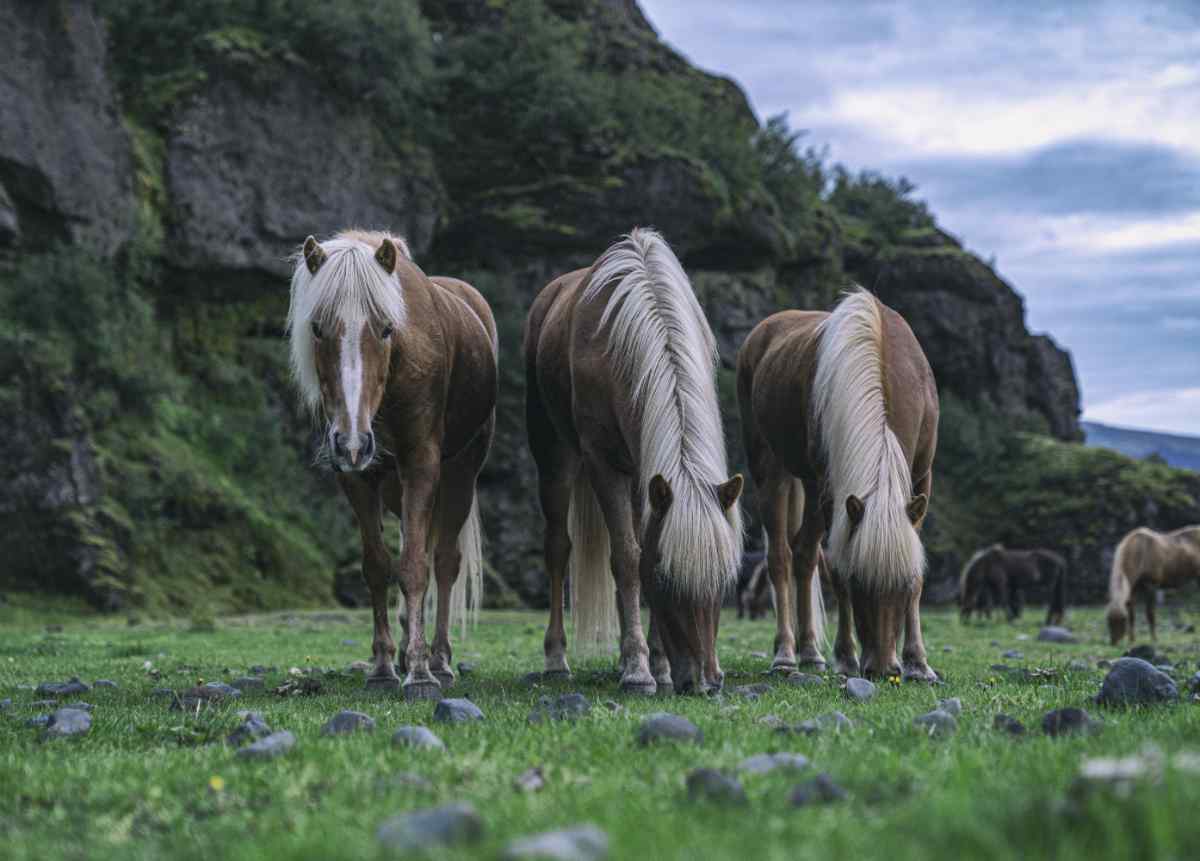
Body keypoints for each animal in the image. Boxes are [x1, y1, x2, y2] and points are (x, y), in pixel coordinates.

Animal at [285, 229, 496, 700]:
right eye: (317, 327)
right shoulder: (358, 476)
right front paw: (383, 666)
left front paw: (420, 672)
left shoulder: (422, 463)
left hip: (461, 471)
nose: (352, 441)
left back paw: (440, 660)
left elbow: (416, 567)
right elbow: (378, 567)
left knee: (445, 561)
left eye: (385, 328)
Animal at [525, 227, 739, 695]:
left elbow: (641, 548)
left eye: (724, 581)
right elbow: (628, 558)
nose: (706, 682)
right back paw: (557, 660)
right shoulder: (604, 463)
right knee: (559, 548)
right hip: (554, 456)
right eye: (666, 579)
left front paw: (656, 664)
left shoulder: (649, 475)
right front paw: (639, 671)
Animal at [734, 290, 940, 681]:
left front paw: (918, 663)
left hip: (809, 487)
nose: (882, 669)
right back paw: (786, 655)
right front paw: (846, 657)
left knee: (804, 556)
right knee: (781, 557)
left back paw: (811, 652)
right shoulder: (833, 494)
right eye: (861, 583)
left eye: (902, 584)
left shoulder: (922, 477)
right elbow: (838, 568)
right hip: (773, 470)